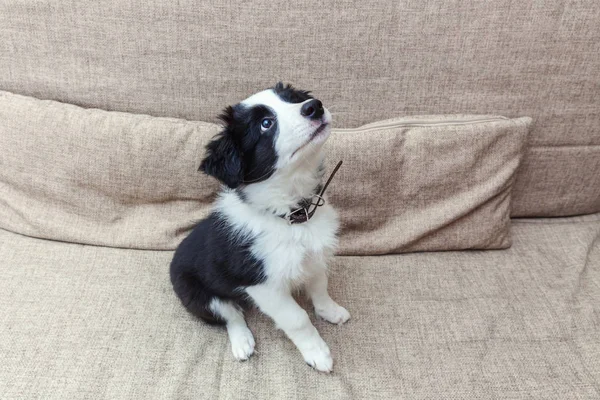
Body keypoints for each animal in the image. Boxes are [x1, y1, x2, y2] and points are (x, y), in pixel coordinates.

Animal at [169, 81, 350, 372]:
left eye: (293, 99)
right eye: (266, 124)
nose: (314, 107)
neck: (290, 214)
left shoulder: (314, 257)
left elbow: (320, 287)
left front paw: (330, 311)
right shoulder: (262, 285)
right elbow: (297, 318)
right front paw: (318, 353)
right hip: (198, 295)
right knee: (230, 315)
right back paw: (242, 342)